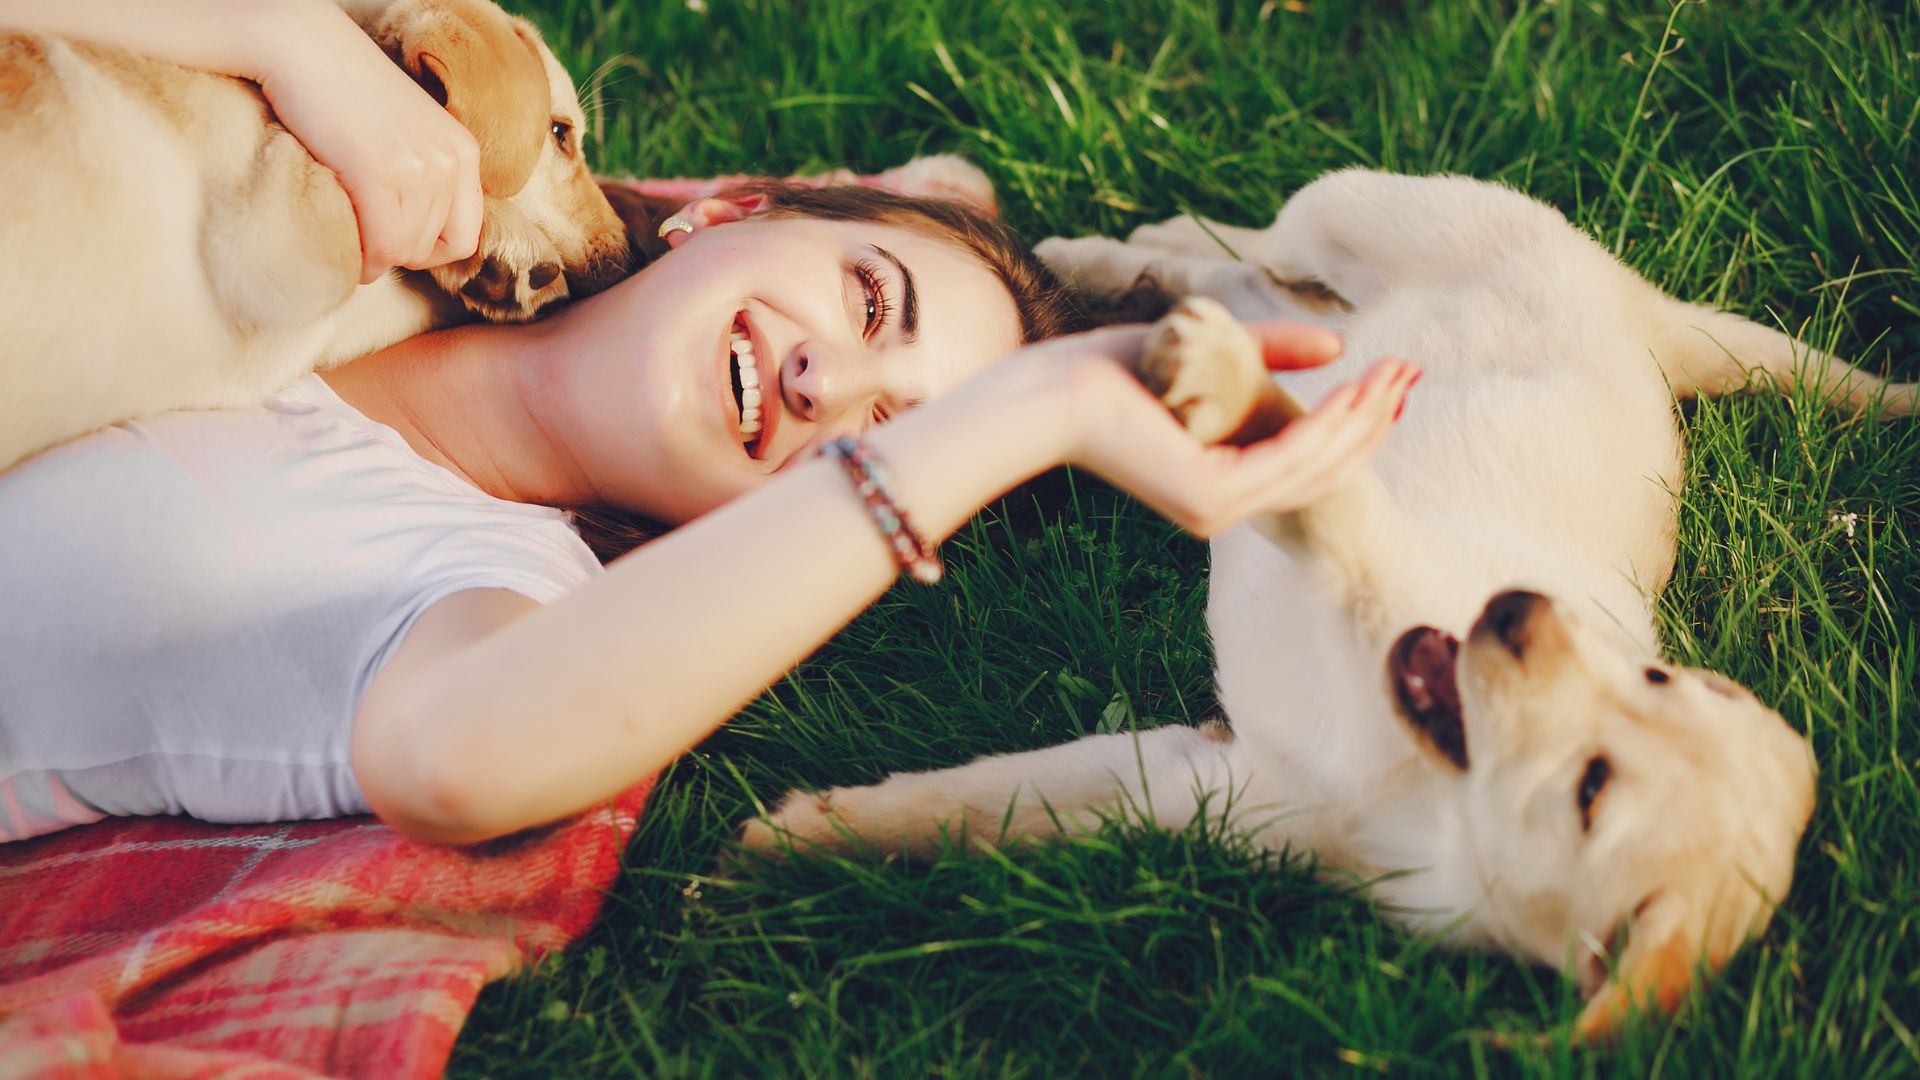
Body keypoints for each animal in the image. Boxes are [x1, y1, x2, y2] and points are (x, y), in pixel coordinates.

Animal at [741, 171, 1912, 1037]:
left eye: (1592, 790)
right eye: (1657, 673)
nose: (1518, 610)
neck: (1412, 792)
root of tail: (1638, 315)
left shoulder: (1203, 788)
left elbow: (995, 804)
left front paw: (804, 837)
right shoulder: (1359, 545)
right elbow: (1307, 470)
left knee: (1269, 294)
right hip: (1360, 210)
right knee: (1253, 250)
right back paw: (1122, 264)